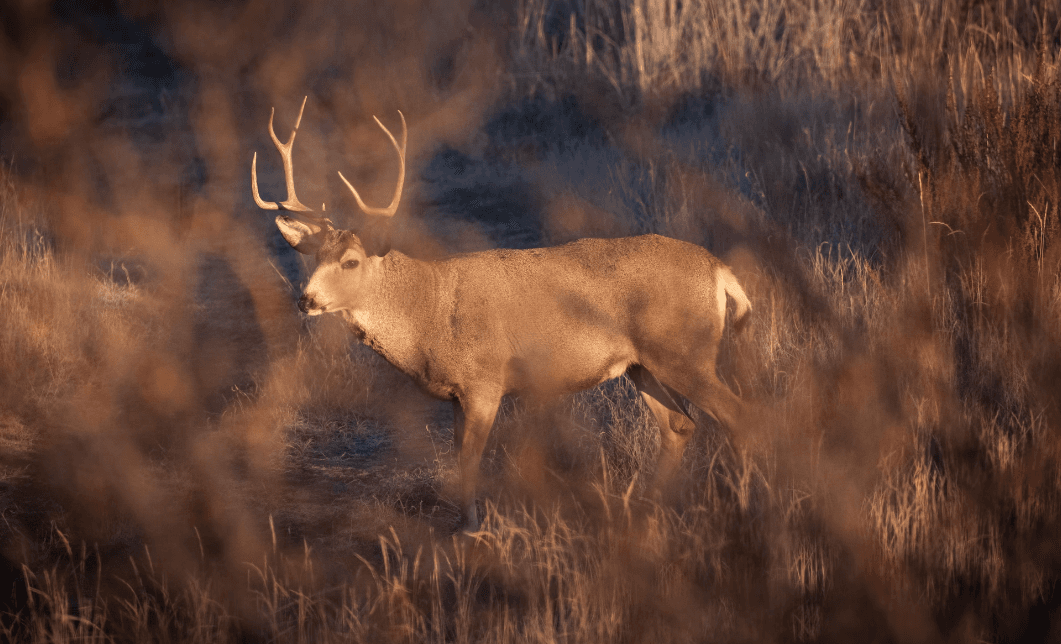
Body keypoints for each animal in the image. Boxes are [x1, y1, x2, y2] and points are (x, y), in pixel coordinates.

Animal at [251, 98, 752, 532]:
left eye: (351, 262)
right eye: (315, 258)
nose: (306, 300)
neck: (428, 313)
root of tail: (719, 270)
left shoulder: (484, 382)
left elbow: (471, 458)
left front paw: (471, 526)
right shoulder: (457, 395)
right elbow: (458, 456)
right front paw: (461, 521)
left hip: (685, 353)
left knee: (737, 414)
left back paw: (744, 507)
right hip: (642, 364)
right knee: (681, 425)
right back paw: (649, 510)